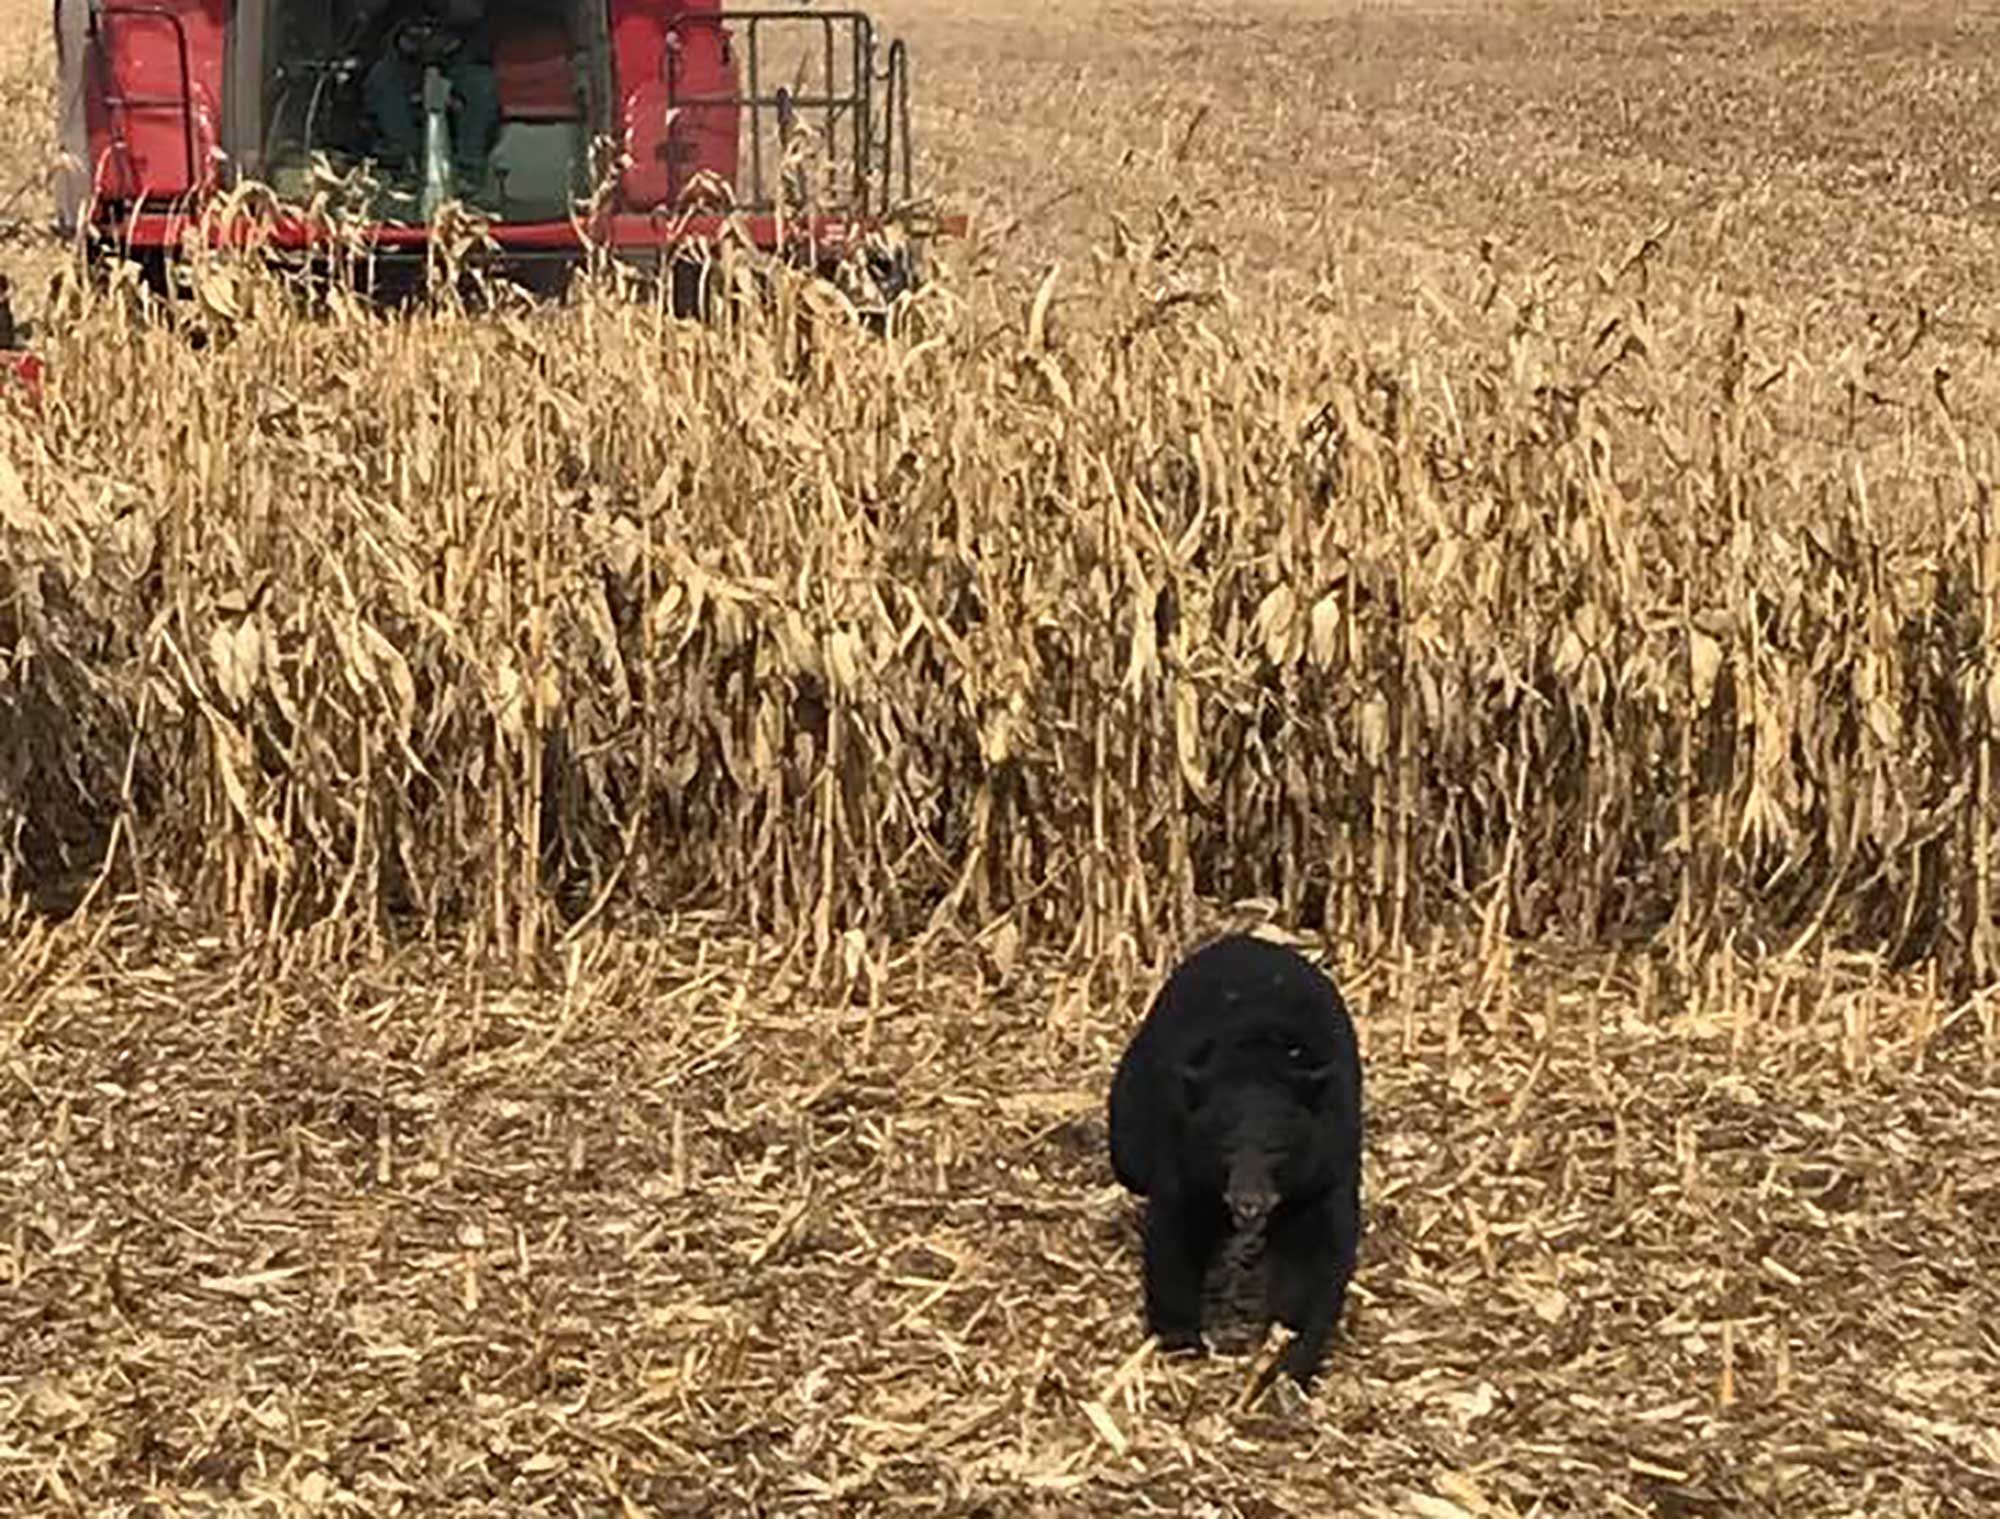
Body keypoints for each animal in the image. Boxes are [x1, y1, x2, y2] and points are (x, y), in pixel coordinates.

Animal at [1104, 931, 1368, 1383]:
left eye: (1278, 1149)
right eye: (1223, 1147)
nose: (1248, 1201)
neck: (1258, 1059)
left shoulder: (1327, 1163)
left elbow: (1315, 1251)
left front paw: (1286, 1357)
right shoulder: (1183, 1152)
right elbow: (1177, 1230)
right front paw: (1182, 1340)